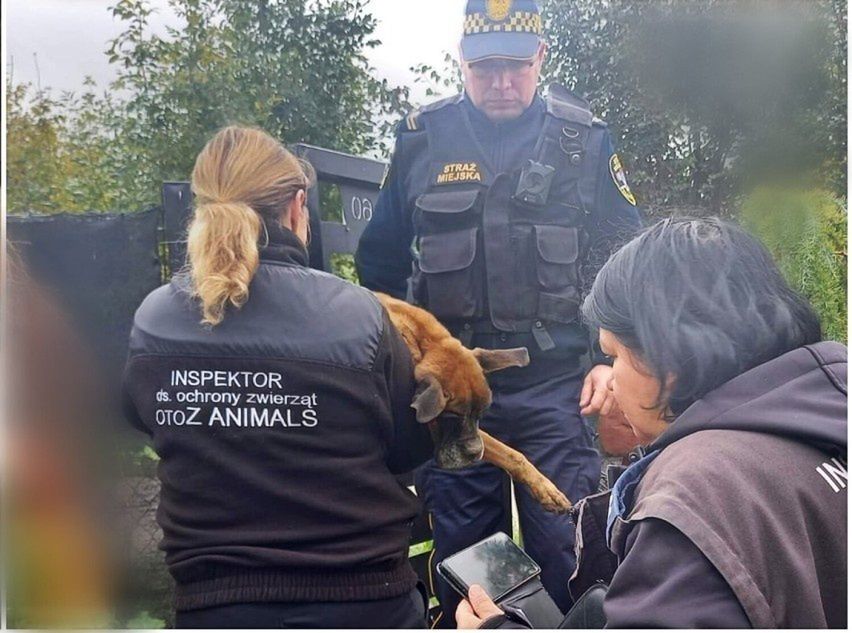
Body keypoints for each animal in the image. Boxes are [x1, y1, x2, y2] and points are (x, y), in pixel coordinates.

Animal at [374, 292, 568, 512]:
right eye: (451, 417)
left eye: (481, 414)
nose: (476, 453)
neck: (425, 341)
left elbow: (511, 454)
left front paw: (545, 488)